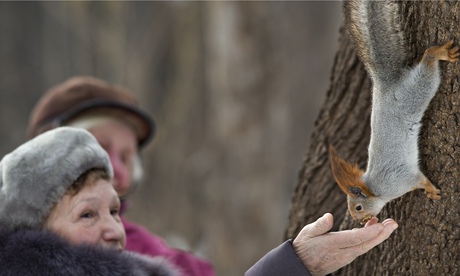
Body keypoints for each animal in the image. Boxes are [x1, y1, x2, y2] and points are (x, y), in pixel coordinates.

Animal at [328, 0, 458, 224]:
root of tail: (386, 86)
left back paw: (438, 53)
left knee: (428, 61)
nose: (361, 222)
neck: (376, 189)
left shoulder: (401, 179)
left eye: (359, 207)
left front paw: (430, 189)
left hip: (415, 92)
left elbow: (421, 179)